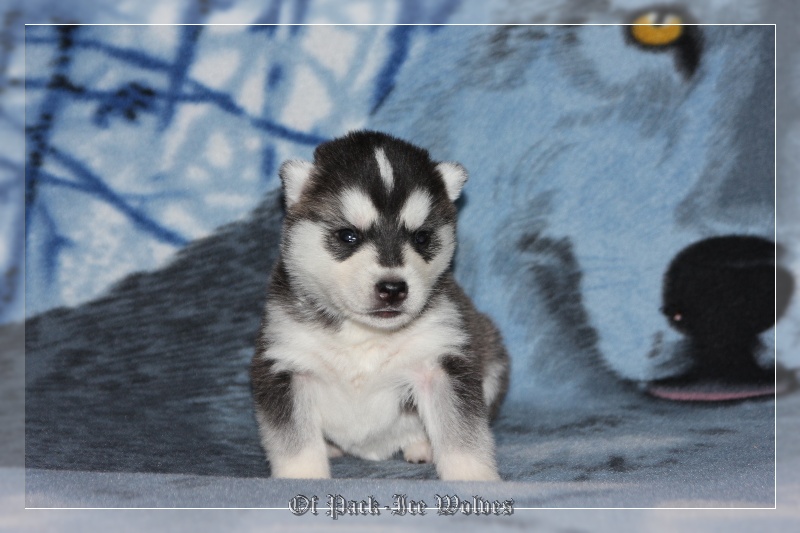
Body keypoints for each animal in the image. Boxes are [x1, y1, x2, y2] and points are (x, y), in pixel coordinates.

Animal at [250, 130, 510, 480]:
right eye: (348, 235)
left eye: (421, 237)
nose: (393, 288)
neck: (364, 334)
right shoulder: (286, 363)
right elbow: (295, 440)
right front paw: (302, 476)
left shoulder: (440, 359)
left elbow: (462, 432)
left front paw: (474, 478)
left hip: (492, 357)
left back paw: (422, 446)